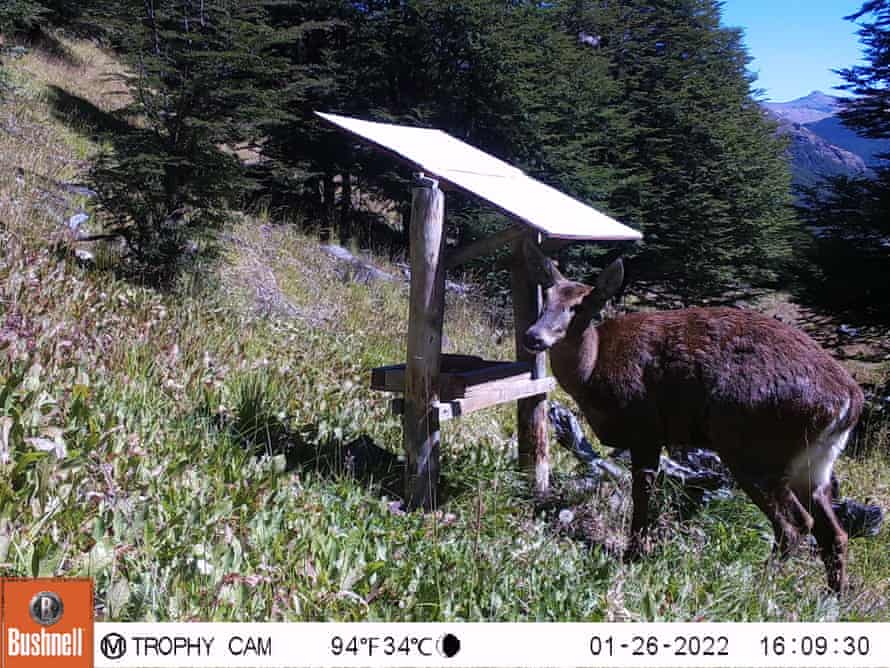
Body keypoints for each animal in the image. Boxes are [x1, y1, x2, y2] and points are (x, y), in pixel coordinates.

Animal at [521, 242, 864, 593]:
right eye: (547, 297)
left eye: (580, 306)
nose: (534, 335)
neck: (593, 369)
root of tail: (849, 402)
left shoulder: (645, 426)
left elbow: (641, 492)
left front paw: (634, 553)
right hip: (813, 466)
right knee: (835, 533)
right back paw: (832, 596)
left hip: (754, 447)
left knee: (796, 525)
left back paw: (756, 586)